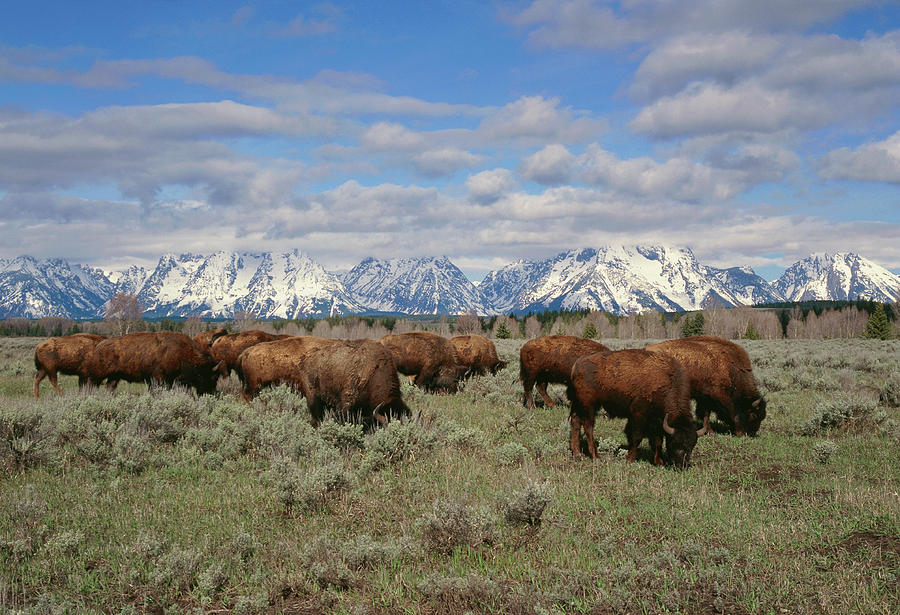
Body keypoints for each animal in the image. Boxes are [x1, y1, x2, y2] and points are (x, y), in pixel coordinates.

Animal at [82, 330, 223, 398]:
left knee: (109, 387)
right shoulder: (158, 378)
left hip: (114, 377)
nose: (210, 393)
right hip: (98, 375)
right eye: (211, 377)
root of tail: (99, 346)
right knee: (90, 385)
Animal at [568, 348, 704, 470]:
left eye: (692, 445)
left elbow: (658, 441)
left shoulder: (658, 421)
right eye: (674, 442)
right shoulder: (638, 415)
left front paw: (659, 462)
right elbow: (637, 437)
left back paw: (577, 454)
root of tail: (578, 364)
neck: (667, 381)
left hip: (579, 404)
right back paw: (595, 456)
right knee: (588, 426)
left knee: (575, 421)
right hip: (589, 405)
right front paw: (630, 459)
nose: (682, 466)